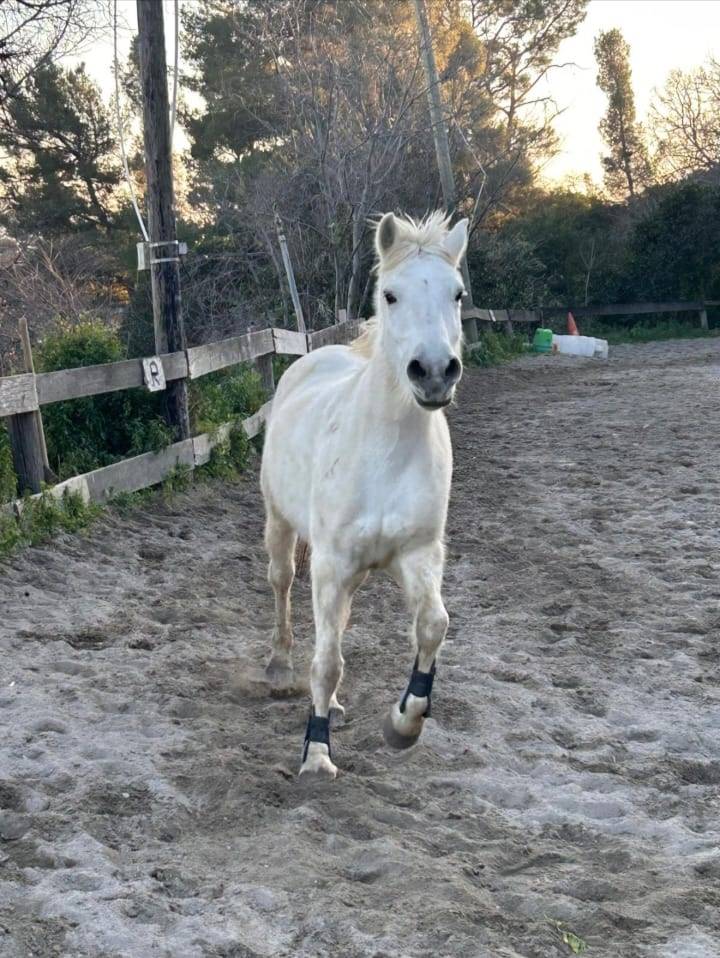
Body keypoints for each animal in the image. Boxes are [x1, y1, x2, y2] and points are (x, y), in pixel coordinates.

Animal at [260, 210, 468, 777]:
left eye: (458, 293)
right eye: (391, 295)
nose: (434, 371)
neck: (385, 451)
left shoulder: (417, 555)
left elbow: (432, 627)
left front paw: (404, 724)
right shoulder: (331, 564)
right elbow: (326, 662)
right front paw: (317, 754)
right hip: (279, 523)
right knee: (282, 584)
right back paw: (280, 664)